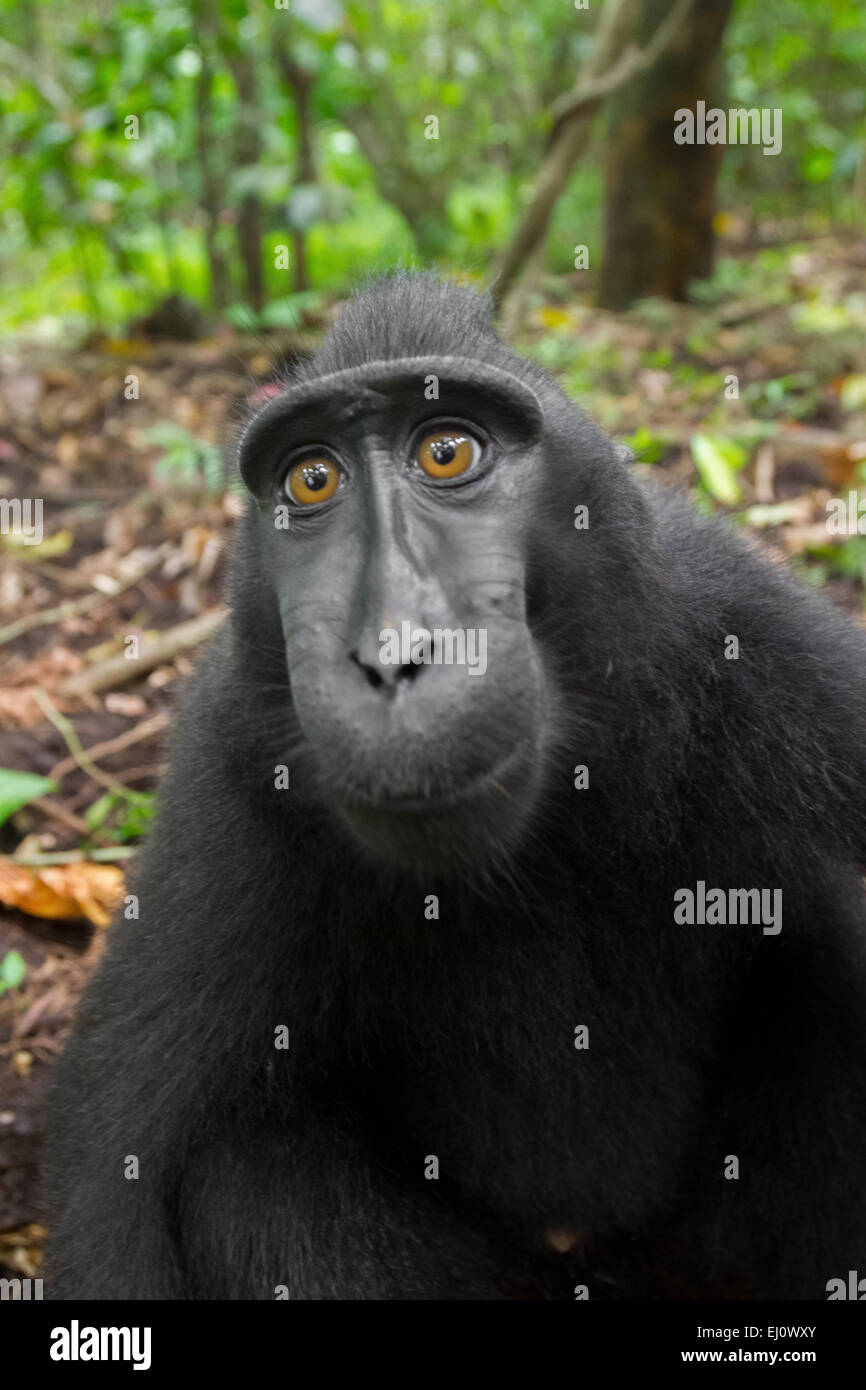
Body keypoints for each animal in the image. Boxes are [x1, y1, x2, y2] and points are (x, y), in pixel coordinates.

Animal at [45, 272, 866, 1300]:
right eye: (311, 481)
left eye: (446, 451)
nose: (391, 655)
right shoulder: (225, 763)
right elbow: (113, 1189)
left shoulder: (769, 652)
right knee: (246, 1169)